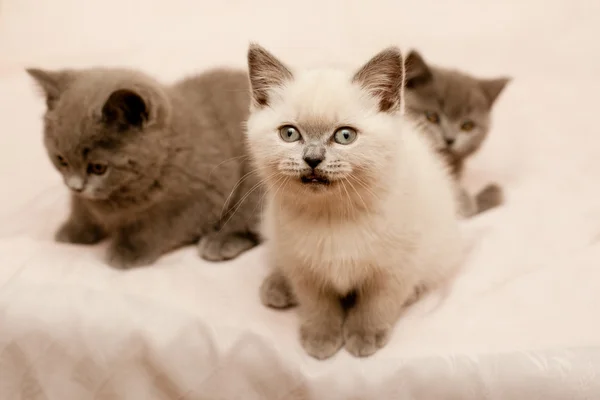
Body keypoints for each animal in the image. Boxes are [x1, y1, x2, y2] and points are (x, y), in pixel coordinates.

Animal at [27, 67, 262, 270]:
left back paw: (220, 241)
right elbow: (82, 207)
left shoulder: (206, 192)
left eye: (98, 167)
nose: (76, 186)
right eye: (61, 160)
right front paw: (74, 230)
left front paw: (130, 250)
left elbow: (158, 224)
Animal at [246, 43, 462, 360]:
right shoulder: (305, 268)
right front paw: (321, 337)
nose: (312, 159)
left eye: (345, 136)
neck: (333, 215)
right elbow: (317, 305)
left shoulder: (395, 268)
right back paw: (277, 286)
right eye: (289, 133)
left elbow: (376, 304)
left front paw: (364, 336)